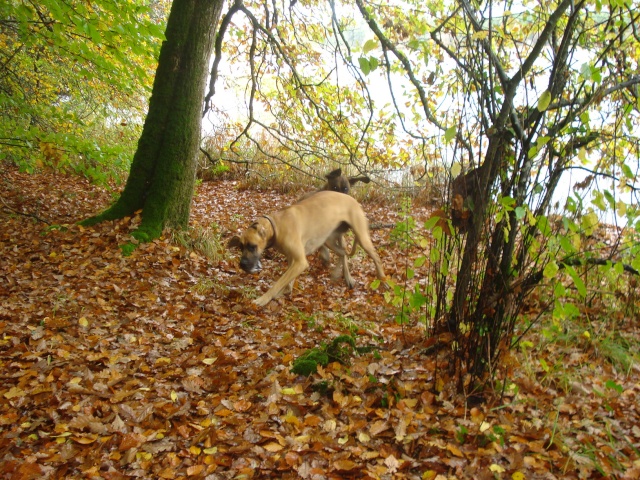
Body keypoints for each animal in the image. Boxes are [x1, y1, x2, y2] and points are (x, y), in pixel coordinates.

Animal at [229, 190, 384, 306]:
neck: (277, 226)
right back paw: (342, 275)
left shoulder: (300, 262)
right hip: (328, 239)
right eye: (241, 247)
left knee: (376, 257)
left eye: (252, 246)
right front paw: (284, 292)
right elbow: (287, 281)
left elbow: (278, 282)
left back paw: (382, 278)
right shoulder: (292, 259)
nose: (242, 264)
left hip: (361, 237)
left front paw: (263, 299)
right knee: (343, 252)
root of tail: (353, 199)